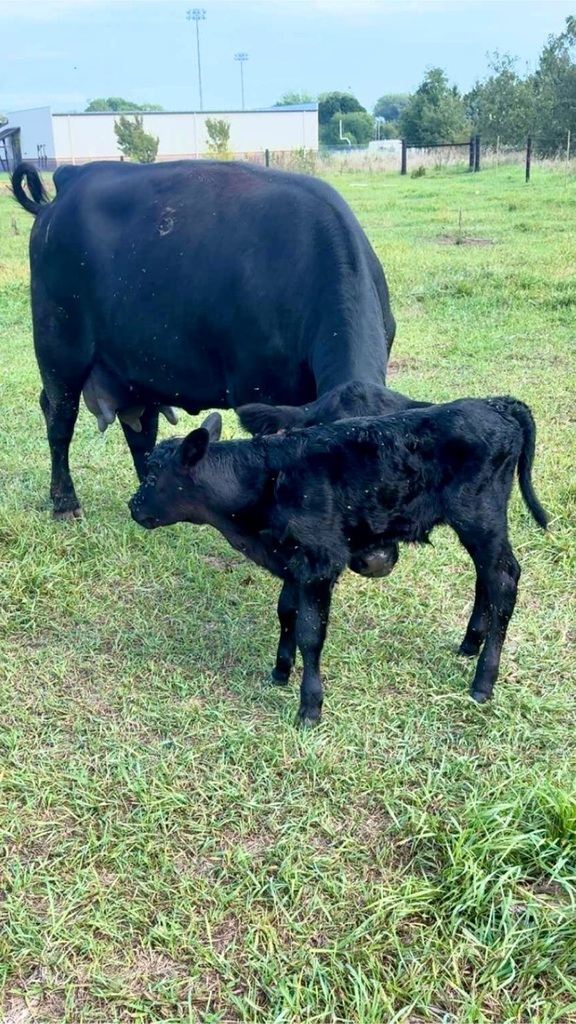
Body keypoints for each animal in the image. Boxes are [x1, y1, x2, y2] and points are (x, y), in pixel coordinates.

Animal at [11, 159, 395, 521]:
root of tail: (69, 178)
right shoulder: (260, 392)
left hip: (136, 364)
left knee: (140, 429)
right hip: (60, 348)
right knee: (59, 418)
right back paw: (65, 503)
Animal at [128, 397, 548, 728]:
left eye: (152, 474)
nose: (133, 506)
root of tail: (495, 403)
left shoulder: (320, 561)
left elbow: (310, 632)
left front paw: (309, 707)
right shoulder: (293, 561)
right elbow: (286, 612)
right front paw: (280, 671)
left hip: (479, 516)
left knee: (504, 579)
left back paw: (483, 682)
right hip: (479, 525)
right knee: (486, 578)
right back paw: (469, 644)